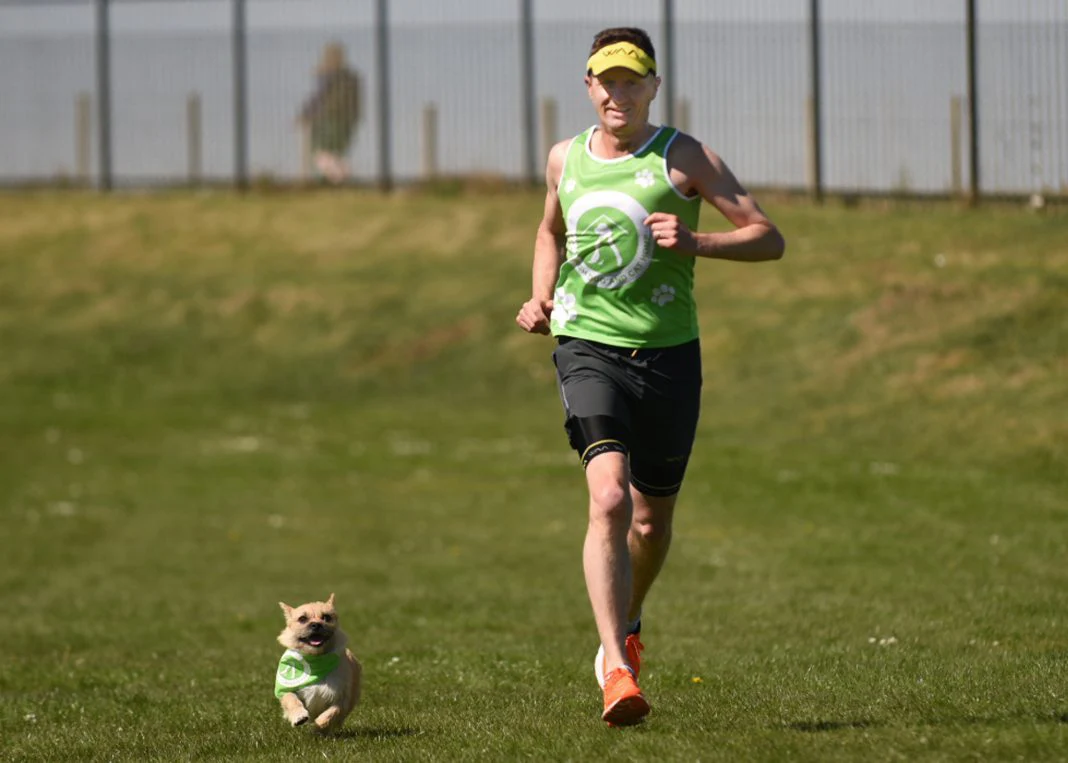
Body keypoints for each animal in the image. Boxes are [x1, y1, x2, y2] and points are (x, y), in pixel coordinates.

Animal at [273, 589, 360, 726]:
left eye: (326, 617)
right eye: (302, 619)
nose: (316, 624)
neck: (315, 658)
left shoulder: (343, 696)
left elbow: (334, 711)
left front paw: (320, 723)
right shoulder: (285, 689)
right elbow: (291, 699)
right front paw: (299, 716)